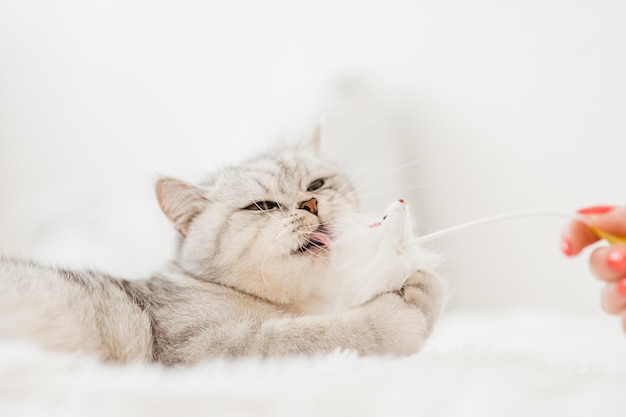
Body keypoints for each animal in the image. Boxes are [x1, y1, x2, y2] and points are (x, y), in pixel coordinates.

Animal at [0, 137, 444, 364]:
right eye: (262, 206)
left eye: (317, 185)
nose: (311, 204)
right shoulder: (202, 350)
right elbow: (321, 335)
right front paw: (410, 306)